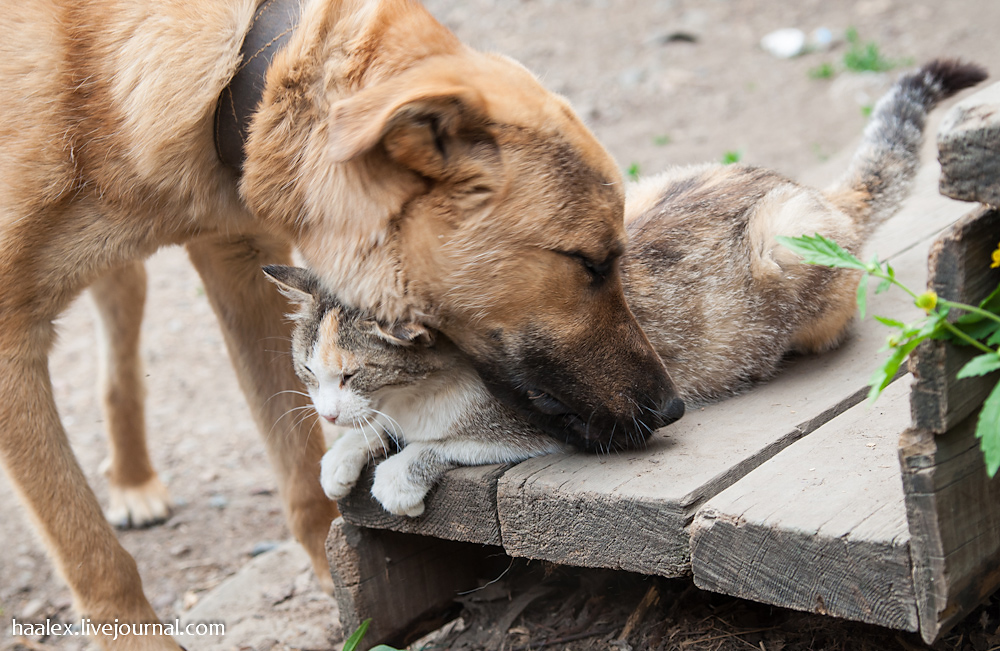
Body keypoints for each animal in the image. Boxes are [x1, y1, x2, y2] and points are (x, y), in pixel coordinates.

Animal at [0, 1, 680, 648]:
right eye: (590, 262)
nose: (671, 408)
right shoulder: (12, 348)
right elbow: (97, 561)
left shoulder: (239, 265)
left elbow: (302, 473)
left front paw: (343, 586)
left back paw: (134, 477)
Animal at [266, 59, 984, 520]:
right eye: (308, 372)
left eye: (353, 373)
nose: (326, 410)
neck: (420, 392)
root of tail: (816, 194)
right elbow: (382, 431)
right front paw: (345, 454)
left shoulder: (564, 423)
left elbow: (446, 443)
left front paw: (399, 472)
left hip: (783, 247)